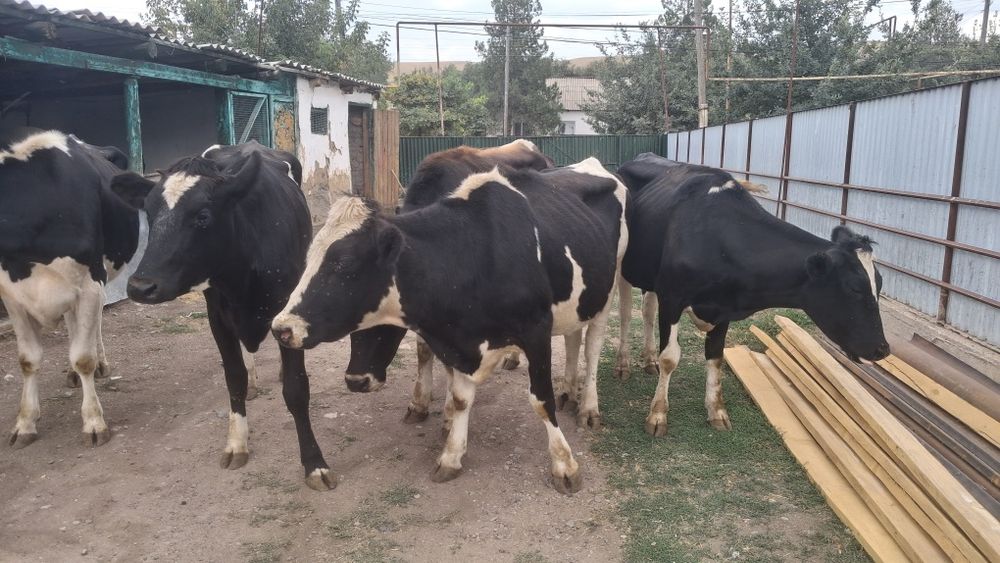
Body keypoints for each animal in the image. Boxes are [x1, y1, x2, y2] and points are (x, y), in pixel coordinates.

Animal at [1, 129, 140, 448]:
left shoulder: (89, 284)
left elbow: (84, 357)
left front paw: (93, 422)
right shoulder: (13, 295)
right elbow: (27, 360)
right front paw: (25, 423)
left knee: (93, 322)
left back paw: (100, 364)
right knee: (73, 324)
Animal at [107, 142, 332, 491]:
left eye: (202, 216)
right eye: (150, 213)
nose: (141, 286)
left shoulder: (289, 312)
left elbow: (296, 389)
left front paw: (314, 463)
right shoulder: (218, 317)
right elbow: (234, 378)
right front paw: (237, 443)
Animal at [615, 153, 890, 437]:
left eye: (879, 285)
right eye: (854, 288)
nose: (883, 349)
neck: (718, 238)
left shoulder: (723, 306)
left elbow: (715, 357)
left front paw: (717, 410)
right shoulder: (672, 297)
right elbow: (670, 357)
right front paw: (658, 415)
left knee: (647, 310)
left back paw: (649, 360)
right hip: (625, 268)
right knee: (626, 313)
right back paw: (623, 365)